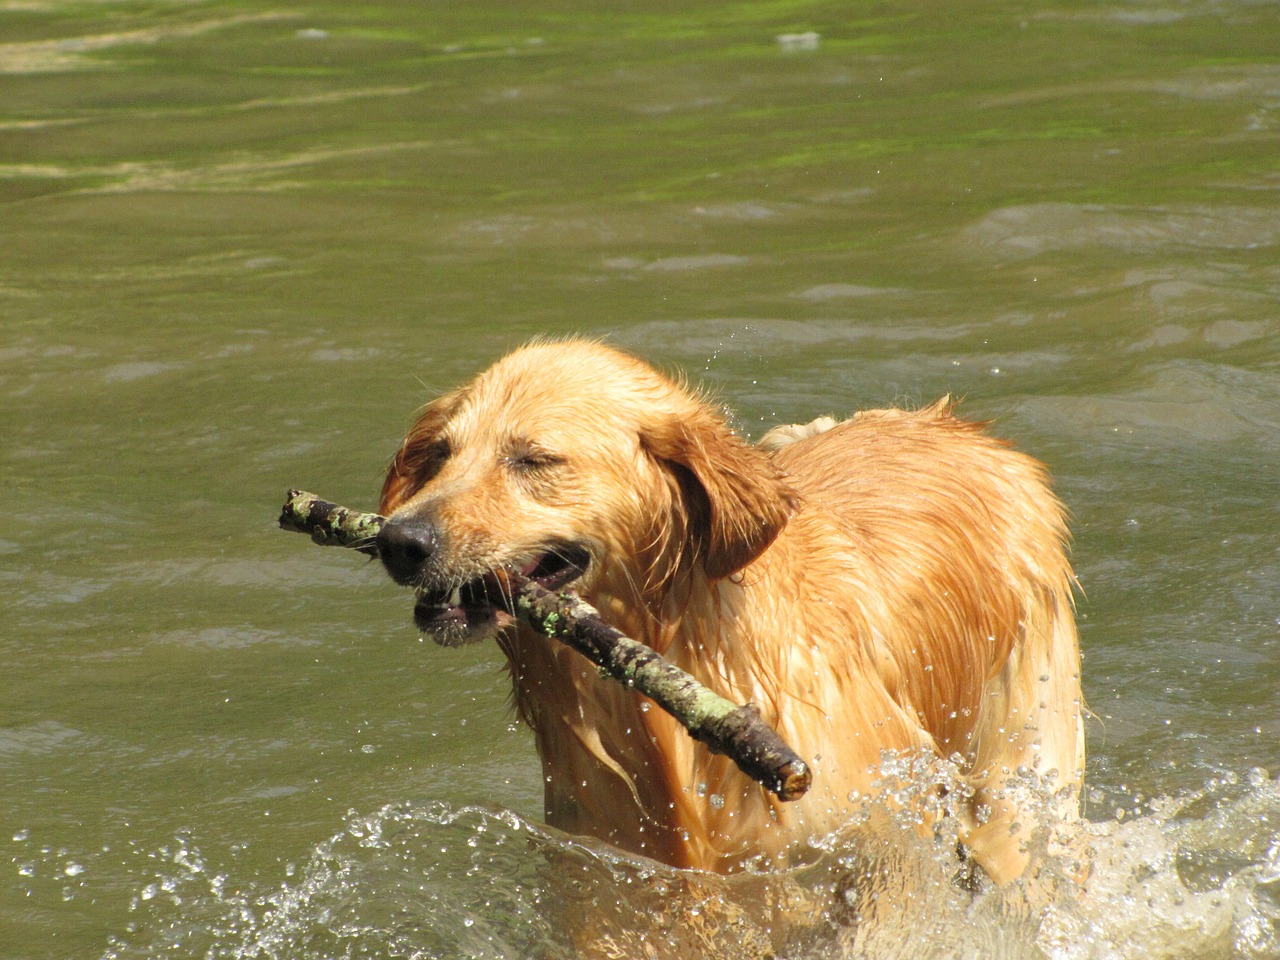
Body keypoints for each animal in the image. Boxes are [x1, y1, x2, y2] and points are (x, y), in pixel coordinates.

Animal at [373, 343, 1085, 890]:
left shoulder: (874, 845)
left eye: (534, 459)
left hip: (1014, 784)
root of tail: (970, 431)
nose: (400, 541)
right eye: (440, 454)